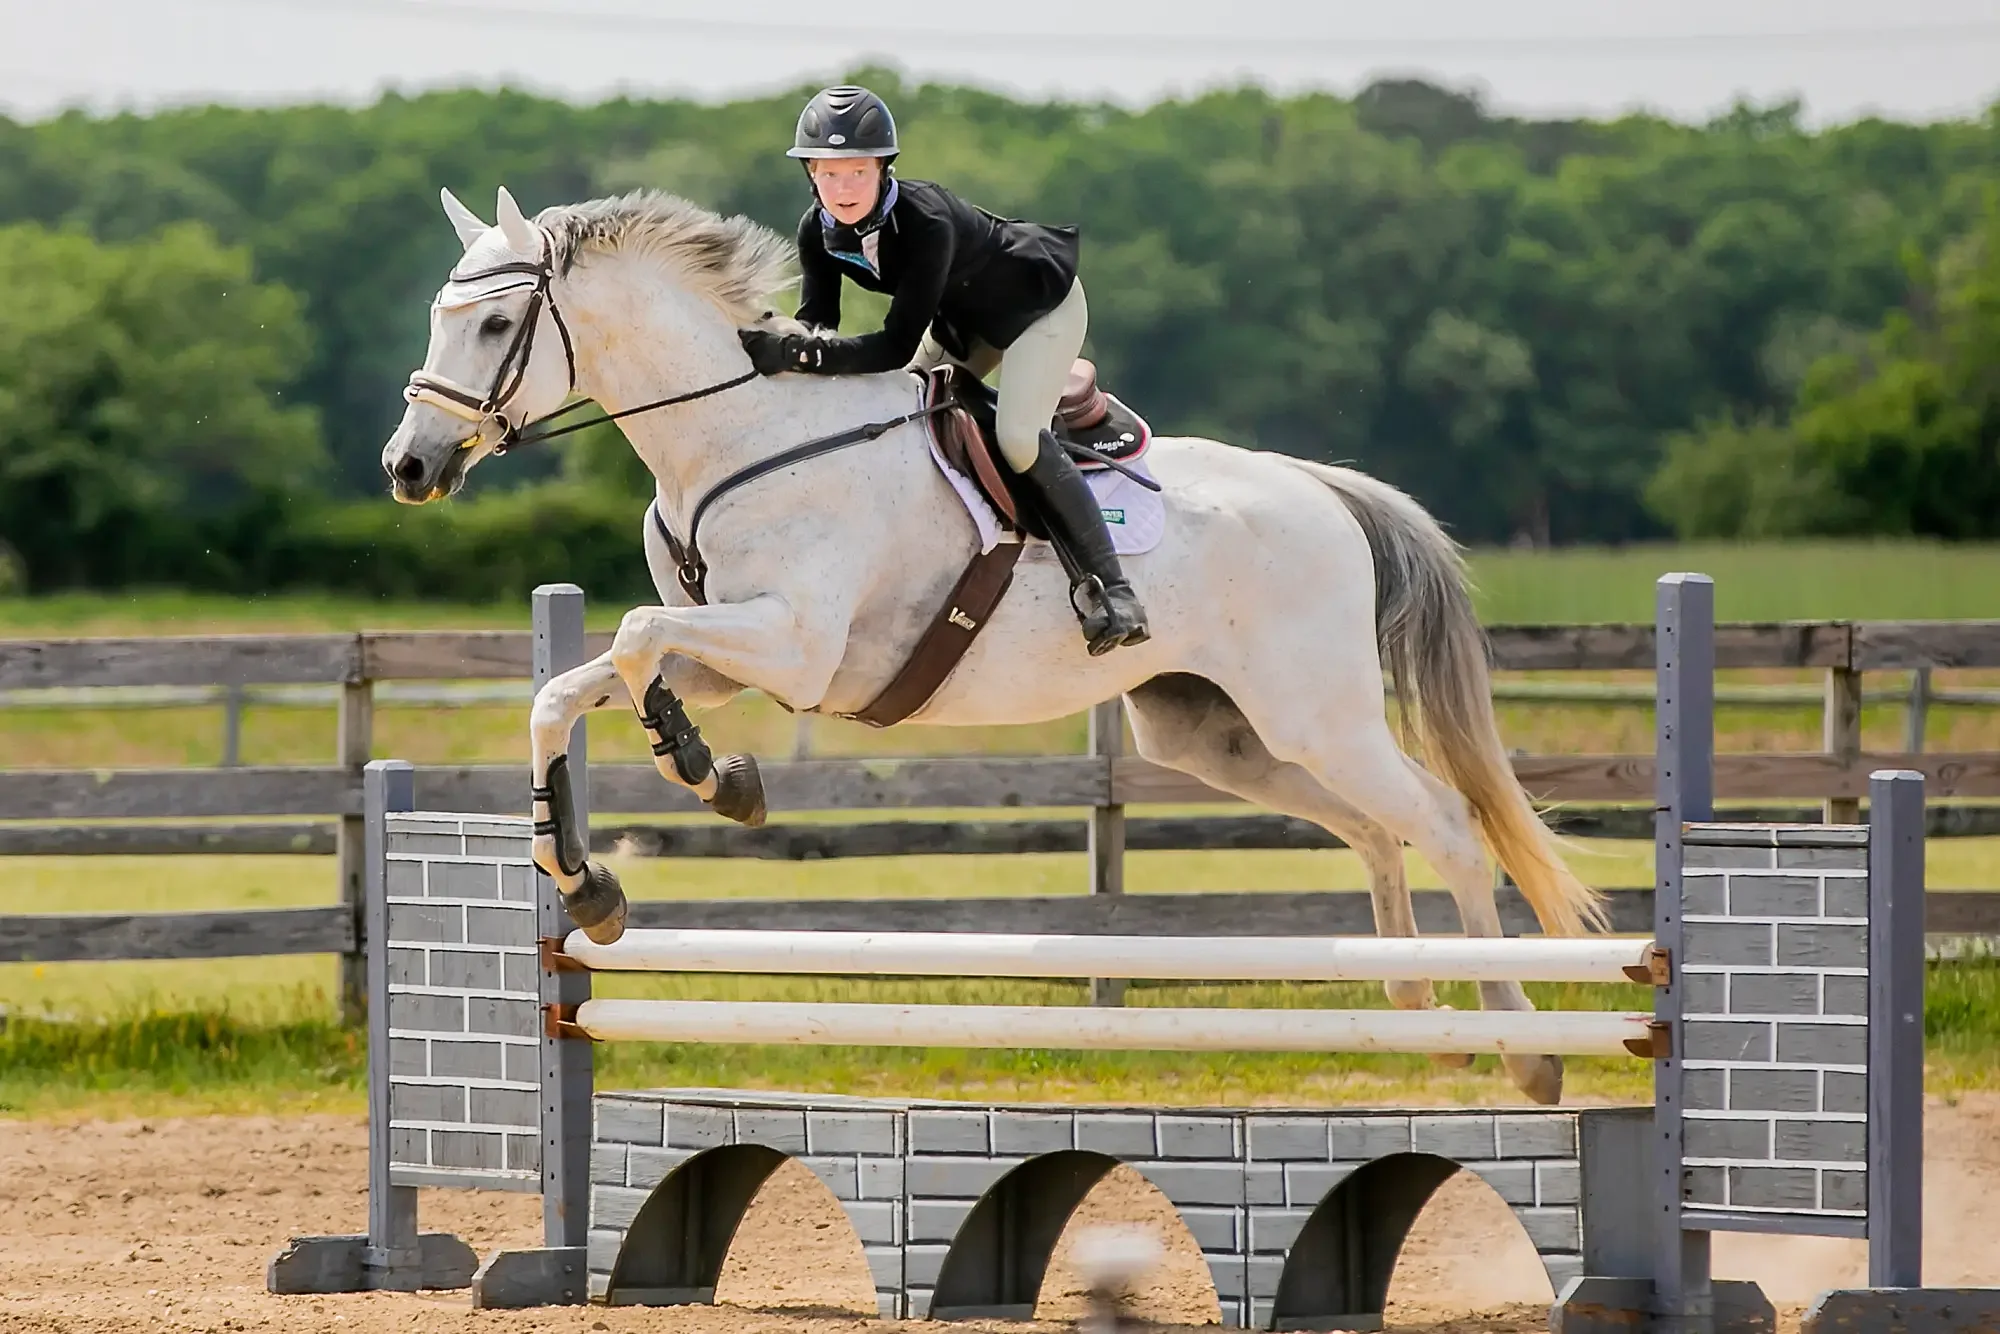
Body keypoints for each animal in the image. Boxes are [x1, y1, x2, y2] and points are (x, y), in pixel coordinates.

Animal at [380, 185, 1603, 1104]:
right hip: (1216, 735)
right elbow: (570, 689)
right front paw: (597, 878)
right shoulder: (730, 656)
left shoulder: (794, 643)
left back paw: (1522, 1048)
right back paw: (1416, 1002)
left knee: (1446, 826)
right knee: (1372, 829)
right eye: (437, 314)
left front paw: (701, 772)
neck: (736, 431)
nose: (409, 467)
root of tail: (1323, 489)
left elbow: (634, 638)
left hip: (1320, 715)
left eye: (494, 326)